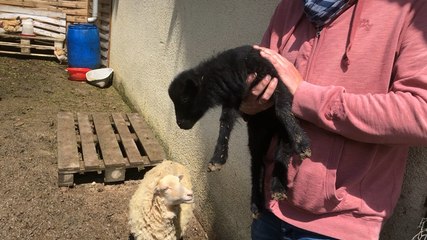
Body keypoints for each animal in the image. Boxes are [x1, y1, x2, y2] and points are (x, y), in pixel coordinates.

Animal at [167, 44, 310, 216]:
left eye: (186, 98)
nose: (180, 124)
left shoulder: (275, 79)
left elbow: (282, 108)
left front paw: (302, 144)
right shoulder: (234, 98)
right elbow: (225, 123)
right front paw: (218, 158)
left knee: (283, 151)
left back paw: (278, 186)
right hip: (257, 133)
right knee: (257, 164)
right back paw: (257, 202)